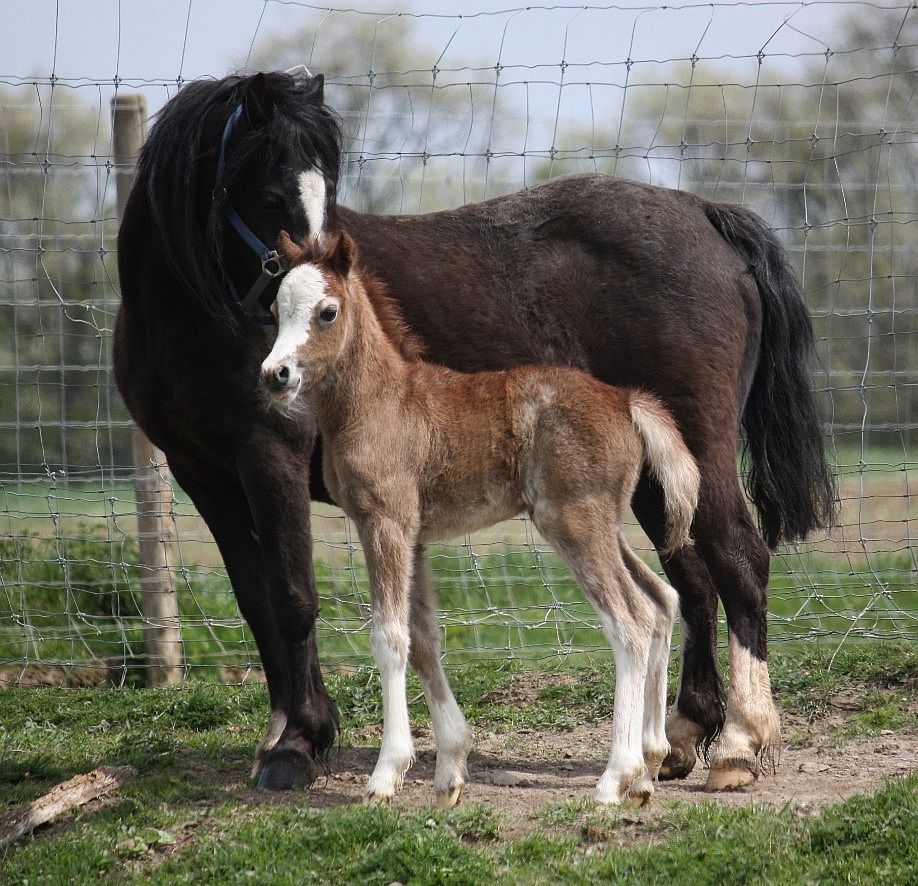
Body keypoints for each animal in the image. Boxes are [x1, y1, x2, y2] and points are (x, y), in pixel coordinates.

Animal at [261, 230, 698, 807]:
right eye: (275, 309)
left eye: (327, 312)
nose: (275, 375)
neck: (380, 403)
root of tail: (626, 400)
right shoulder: (417, 537)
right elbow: (424, 637)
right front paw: (449, 771)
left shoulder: (386, 522)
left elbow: (390, 637)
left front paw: (386, 775)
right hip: (602, 522)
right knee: (661, 599)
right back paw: (648, 766)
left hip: (574, 523)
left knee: (631, 622)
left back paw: (614, 778)